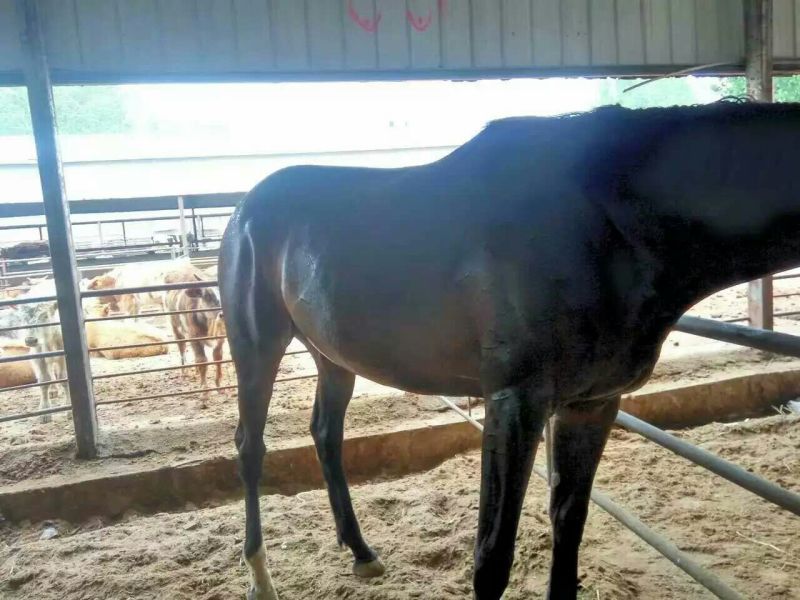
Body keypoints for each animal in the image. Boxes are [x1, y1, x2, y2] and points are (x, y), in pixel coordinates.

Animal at [218, 101, 800, 600]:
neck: (607, 218)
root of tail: (245, 208)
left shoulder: (592, 404)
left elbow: (569, 524)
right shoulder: (514, 403)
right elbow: (492, 558)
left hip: (333, 358)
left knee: (325, 435)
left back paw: (361, 553)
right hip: (257, 346)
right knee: (250, 448)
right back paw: (260, 580)